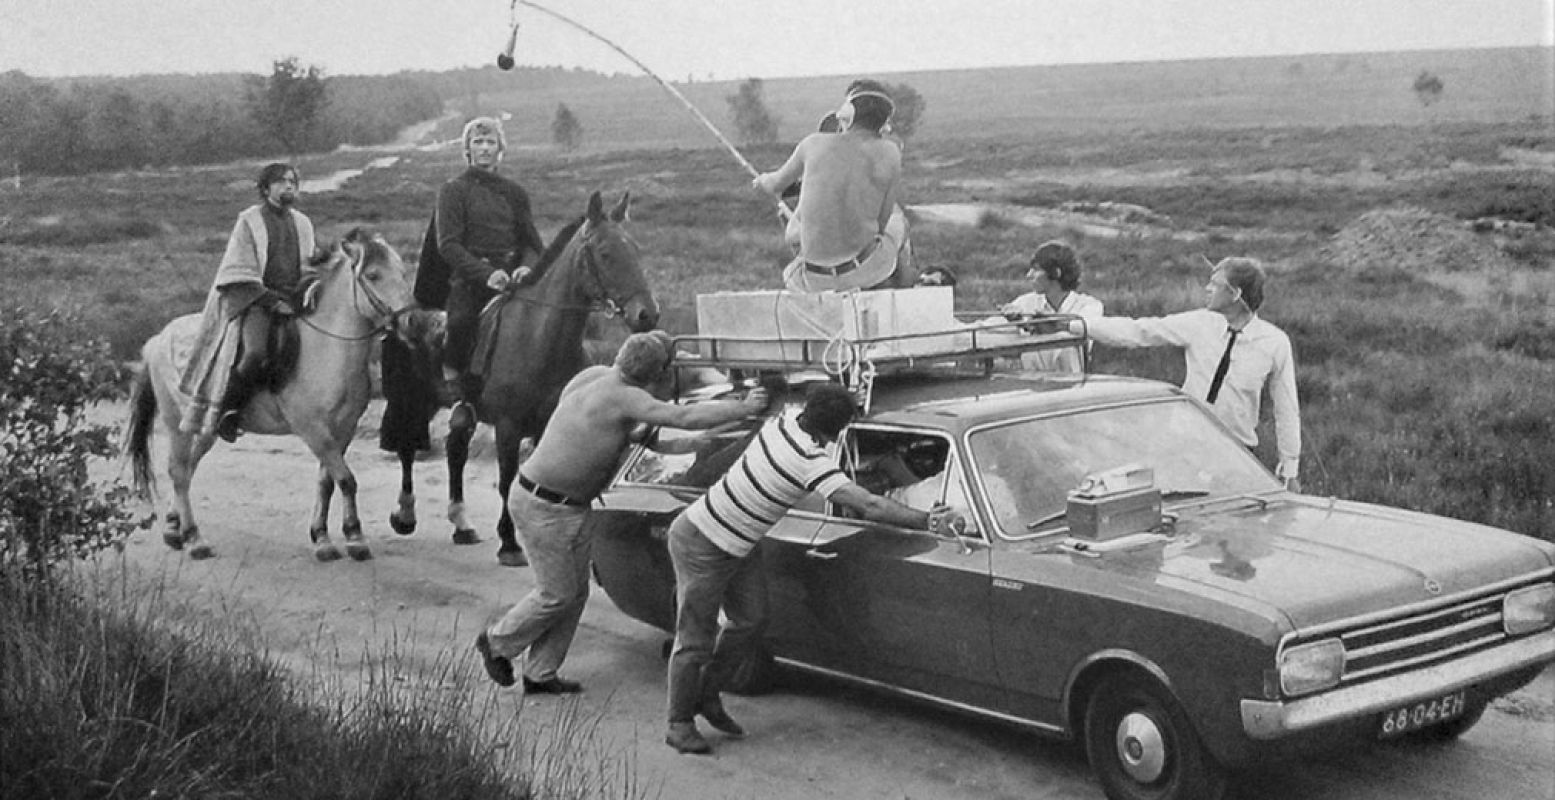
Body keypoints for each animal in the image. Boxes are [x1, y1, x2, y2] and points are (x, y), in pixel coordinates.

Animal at [125, 227, 413, 557]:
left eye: (403, 272)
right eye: (374, 275)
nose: (412, 321)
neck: (326, 349)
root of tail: (158, 339)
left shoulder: (343, 430)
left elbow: (328, 483)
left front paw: (325, 535)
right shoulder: (313, 430)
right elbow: (346, 479)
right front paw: (350, 538)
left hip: (204, 426)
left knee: (188, 467)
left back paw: (174, 529)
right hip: (177, 424)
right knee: (179, 471)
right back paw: (194, 538)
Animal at [388, 191, 662, 566]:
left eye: (634, 248)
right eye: (606, 253)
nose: (647, 314)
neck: (537, 339)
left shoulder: (547, 423)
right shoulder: (508, 426)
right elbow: (507, 480)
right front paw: (509, 544)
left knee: (455, 450)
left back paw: (462, 524)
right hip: (416, 400)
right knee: (406, 449)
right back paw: (405, 516)